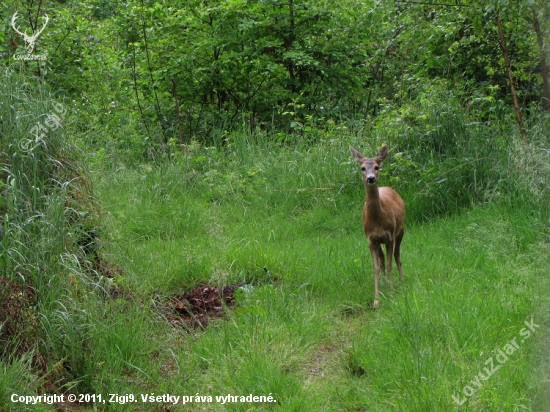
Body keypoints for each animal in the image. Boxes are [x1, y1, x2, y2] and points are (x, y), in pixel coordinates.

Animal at [352, 143, 408, 308]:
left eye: (377, 167)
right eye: (363, 168)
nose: (370, 178)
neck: (377, 221)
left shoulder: (389, 237)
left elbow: (390, 265)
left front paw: (392, 293)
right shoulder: (371, 239)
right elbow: (376, 268)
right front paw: (376, 299)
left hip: (401, 231)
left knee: (397, 255)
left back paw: (401, 281)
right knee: (383, 259)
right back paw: (383, 285)